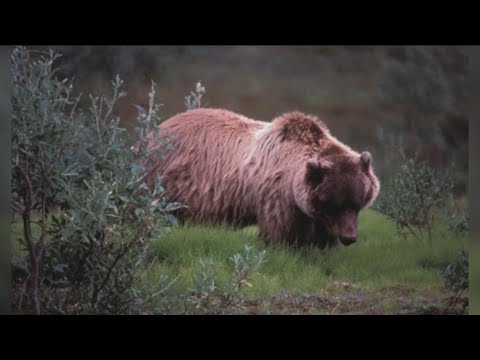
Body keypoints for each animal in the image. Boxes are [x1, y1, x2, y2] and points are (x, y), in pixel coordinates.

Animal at [146, 107, 378, 248]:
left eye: (356, 202)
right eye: (334, 203)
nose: (349, 237)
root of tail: (157, 129)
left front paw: (324, 245)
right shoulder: (277, 195)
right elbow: (280, 232)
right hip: (168, 180)